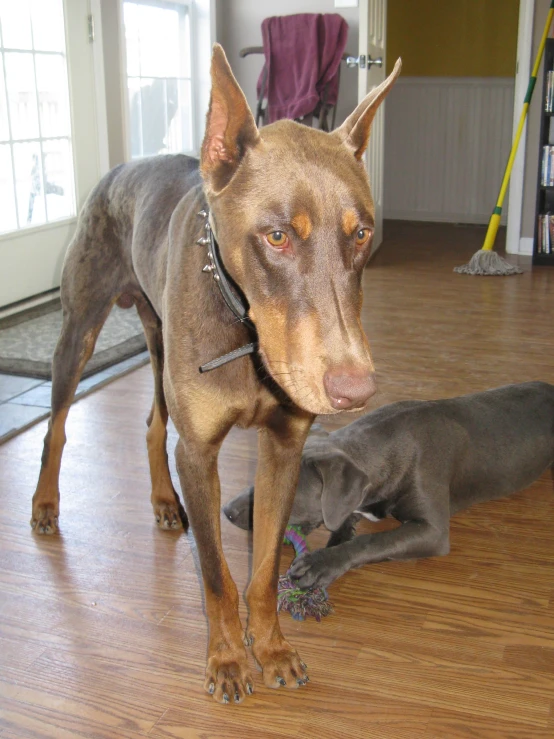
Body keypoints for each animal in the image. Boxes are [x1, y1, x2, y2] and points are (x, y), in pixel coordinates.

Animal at [31, 46, 396, 704]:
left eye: (362, 233)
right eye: (276, 236)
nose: (355, 390)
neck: (242, 331)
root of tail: (118, 169)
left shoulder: (284, 446)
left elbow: (263, 567)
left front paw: (271, 648)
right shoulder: (200, 453)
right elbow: (215, 574)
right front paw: (227, 659)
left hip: (157, 340)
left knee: (154, 422)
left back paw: (162, 501)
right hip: (80, 329)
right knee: (59, 424)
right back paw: (45, 504)